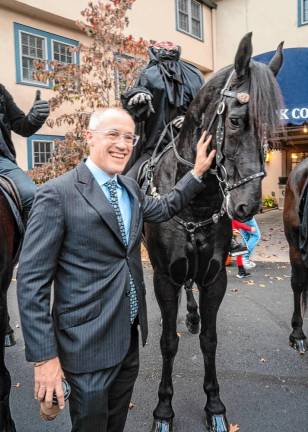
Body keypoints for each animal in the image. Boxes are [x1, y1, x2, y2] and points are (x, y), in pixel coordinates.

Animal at [143, 33, 282, 432]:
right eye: (235, 121)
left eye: (271, 130)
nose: (247, 206)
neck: (193, 203)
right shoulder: (164, 278)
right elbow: (167, 342)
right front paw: (163, 410)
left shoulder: (213, 277)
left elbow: (209, 339)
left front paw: (215, 406)